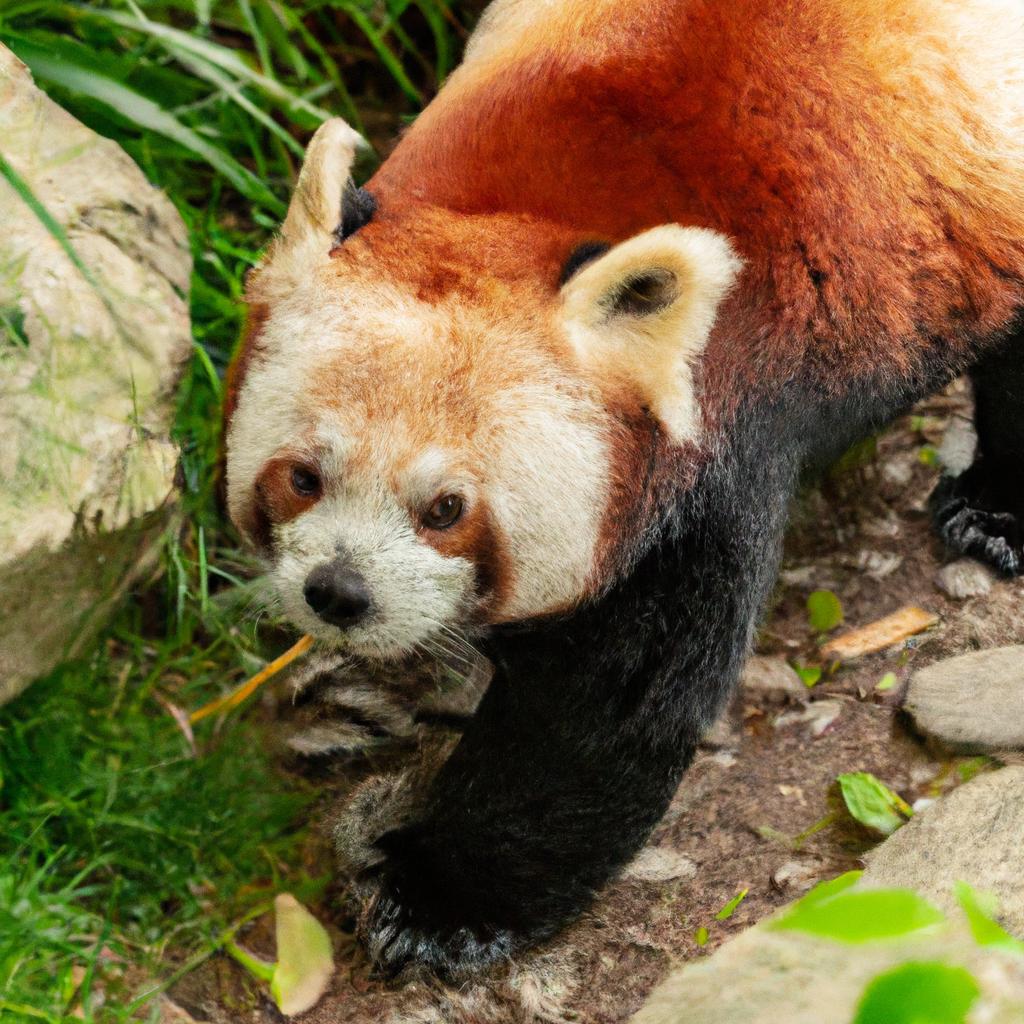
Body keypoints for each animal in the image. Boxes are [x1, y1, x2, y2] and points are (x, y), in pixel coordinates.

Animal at [228, 0, 1024, 974]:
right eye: (303, 477)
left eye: (446, 509)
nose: (339, 593)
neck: (541, 193)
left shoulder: (724, 427)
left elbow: (606, 709)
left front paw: (441, 900)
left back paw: (998, 512)